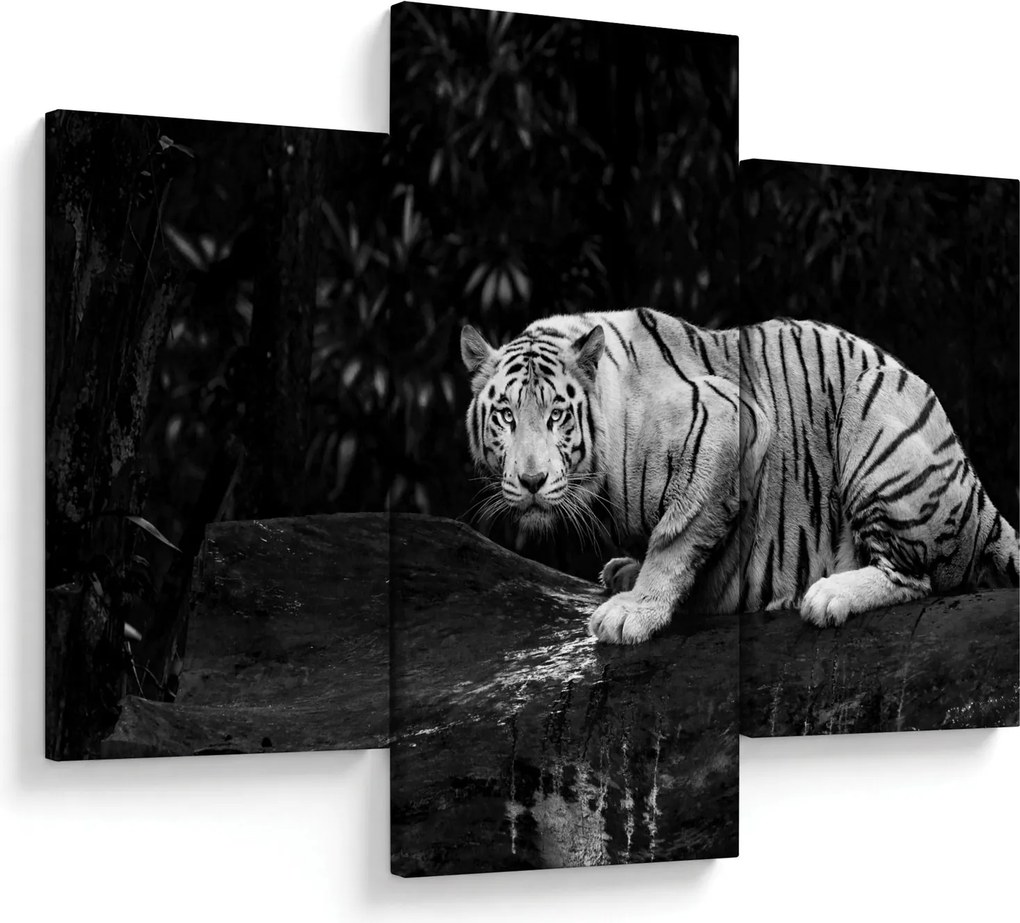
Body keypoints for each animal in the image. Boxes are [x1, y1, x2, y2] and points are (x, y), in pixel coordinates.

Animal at [460, 308, 1020, 644]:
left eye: (557, 415)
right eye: (506, 415)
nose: (532, 481)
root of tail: (978, 496)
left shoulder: (728, 422)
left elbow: (675, 536)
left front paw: (634, 610)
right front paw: (628, 573)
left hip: (874, 407)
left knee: (916, 575)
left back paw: (829, 595)